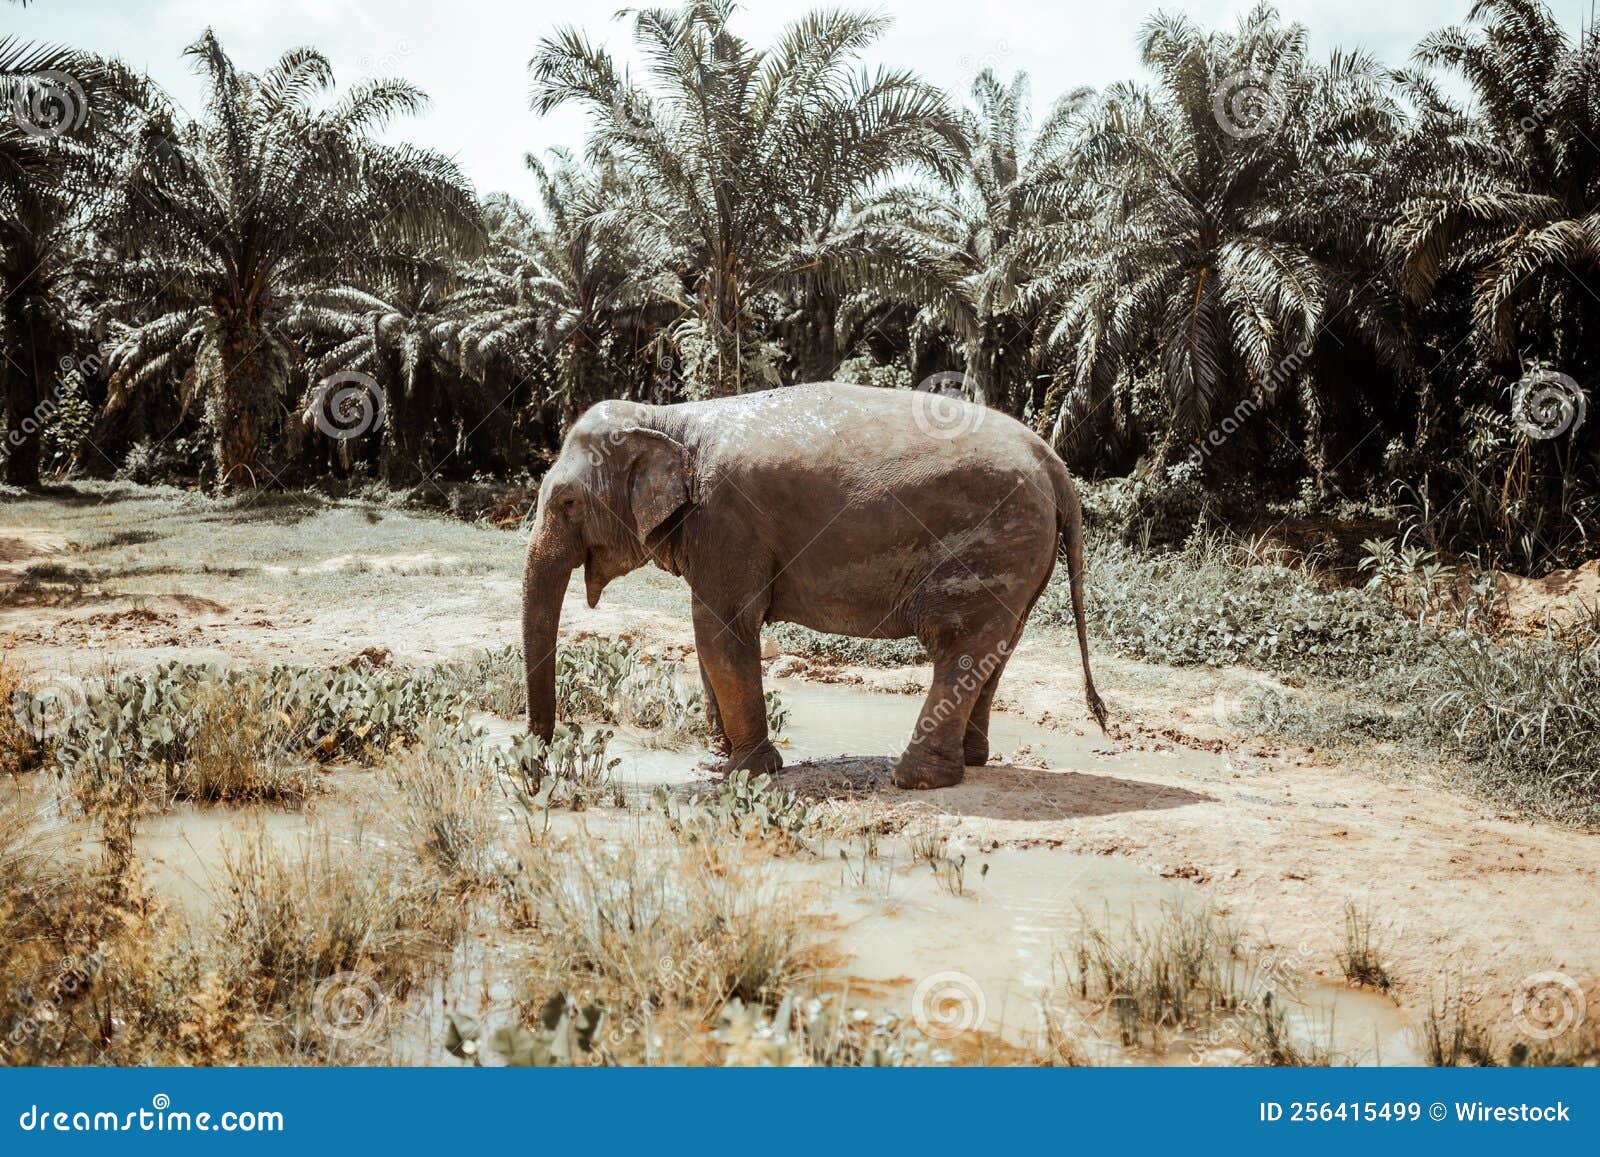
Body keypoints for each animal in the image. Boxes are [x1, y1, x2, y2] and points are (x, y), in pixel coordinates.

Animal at [521, 381, 1107, 789]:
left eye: (568, 502)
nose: (538, 765)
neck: (669, 417)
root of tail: (1055, 467)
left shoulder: (727, 522)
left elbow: (720, 629)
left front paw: (747, 773)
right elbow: (708, 637)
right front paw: (717, 761)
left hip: (990, 546)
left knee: (958, 646)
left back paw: (914, 779)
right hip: (1022, 556)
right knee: (997, 647)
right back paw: (970, 761)